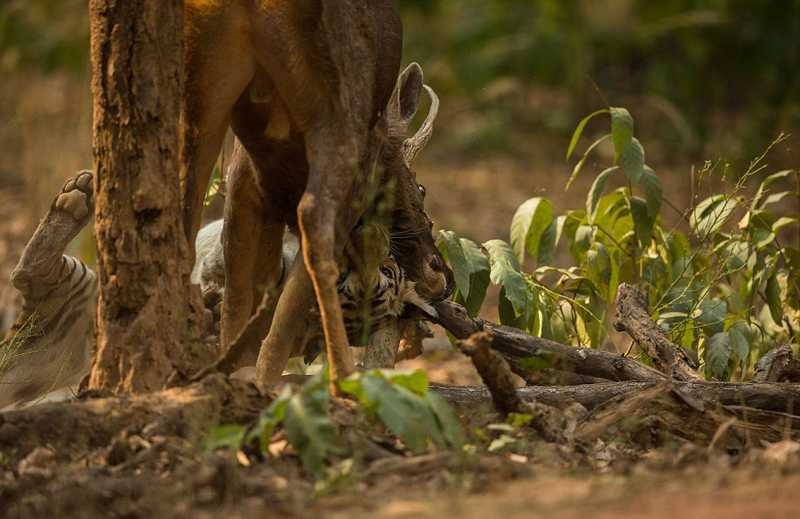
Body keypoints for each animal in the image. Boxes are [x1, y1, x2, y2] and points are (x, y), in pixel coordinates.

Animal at [0, 170, 435, 410]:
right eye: (385, 267)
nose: (368, 239)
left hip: (70, 302)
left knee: (33, 278)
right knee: (31, 275)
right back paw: (77, 196)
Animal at [179, 0, 454, 387]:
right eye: (421, 187)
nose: (441, 276)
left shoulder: (243, 180)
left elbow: (242, 297)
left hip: (207, 86)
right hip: (338, 115)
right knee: (314, 227)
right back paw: (340, 377)